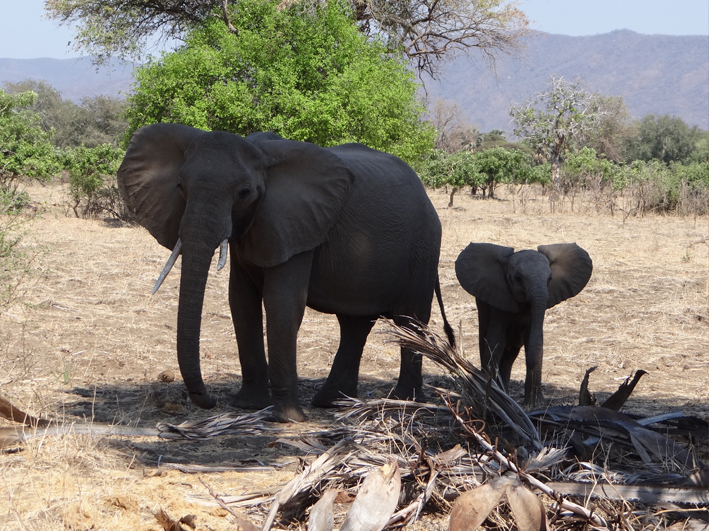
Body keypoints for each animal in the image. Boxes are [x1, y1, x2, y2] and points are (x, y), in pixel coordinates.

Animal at [117, 124, 454, 424]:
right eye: (180, 187)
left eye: (244, 193)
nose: (209, 401)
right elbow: (240, 301)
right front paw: (248, 406)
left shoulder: (297, 224)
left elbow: (282, 302)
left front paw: (287, 419)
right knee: (355, 325)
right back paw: (333, 402)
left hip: (423, 247)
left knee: (410, 319)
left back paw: (402, 401)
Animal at [454, 243, 592, 406]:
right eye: (518, 278)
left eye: (550, 279)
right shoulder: (498, 303)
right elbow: (496, 343)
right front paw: (493, 396)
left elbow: (536, 342)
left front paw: (534, 405)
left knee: (509, 357)